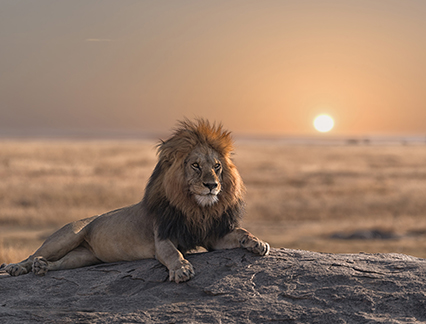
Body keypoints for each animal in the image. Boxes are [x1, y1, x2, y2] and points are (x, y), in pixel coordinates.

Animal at [1, 118, 270, 280]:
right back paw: (17, 267)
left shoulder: (212, 235)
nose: (212, 186)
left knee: (59, 262)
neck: (196, 208)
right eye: (195, 165)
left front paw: (257, 242)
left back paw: (43, 268)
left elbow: (241, 232)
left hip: (84, 257)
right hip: (67, 236)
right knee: (34, 254)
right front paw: (182, 269)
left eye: (216, 166)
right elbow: (173, 253)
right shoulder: (162, 237)